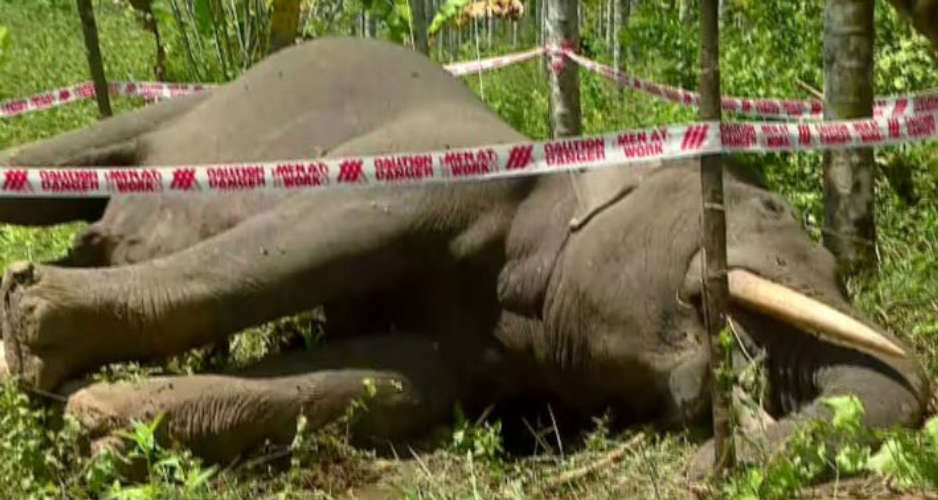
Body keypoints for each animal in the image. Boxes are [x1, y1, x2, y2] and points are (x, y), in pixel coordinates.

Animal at [0, 37, 924, 474]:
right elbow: (303, 243)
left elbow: (384, 385)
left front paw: (101, 422)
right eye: (772, 207)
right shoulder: (433, 173)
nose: (706, 465)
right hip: (179, 110)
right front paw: (36, 334)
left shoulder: (484, 353)